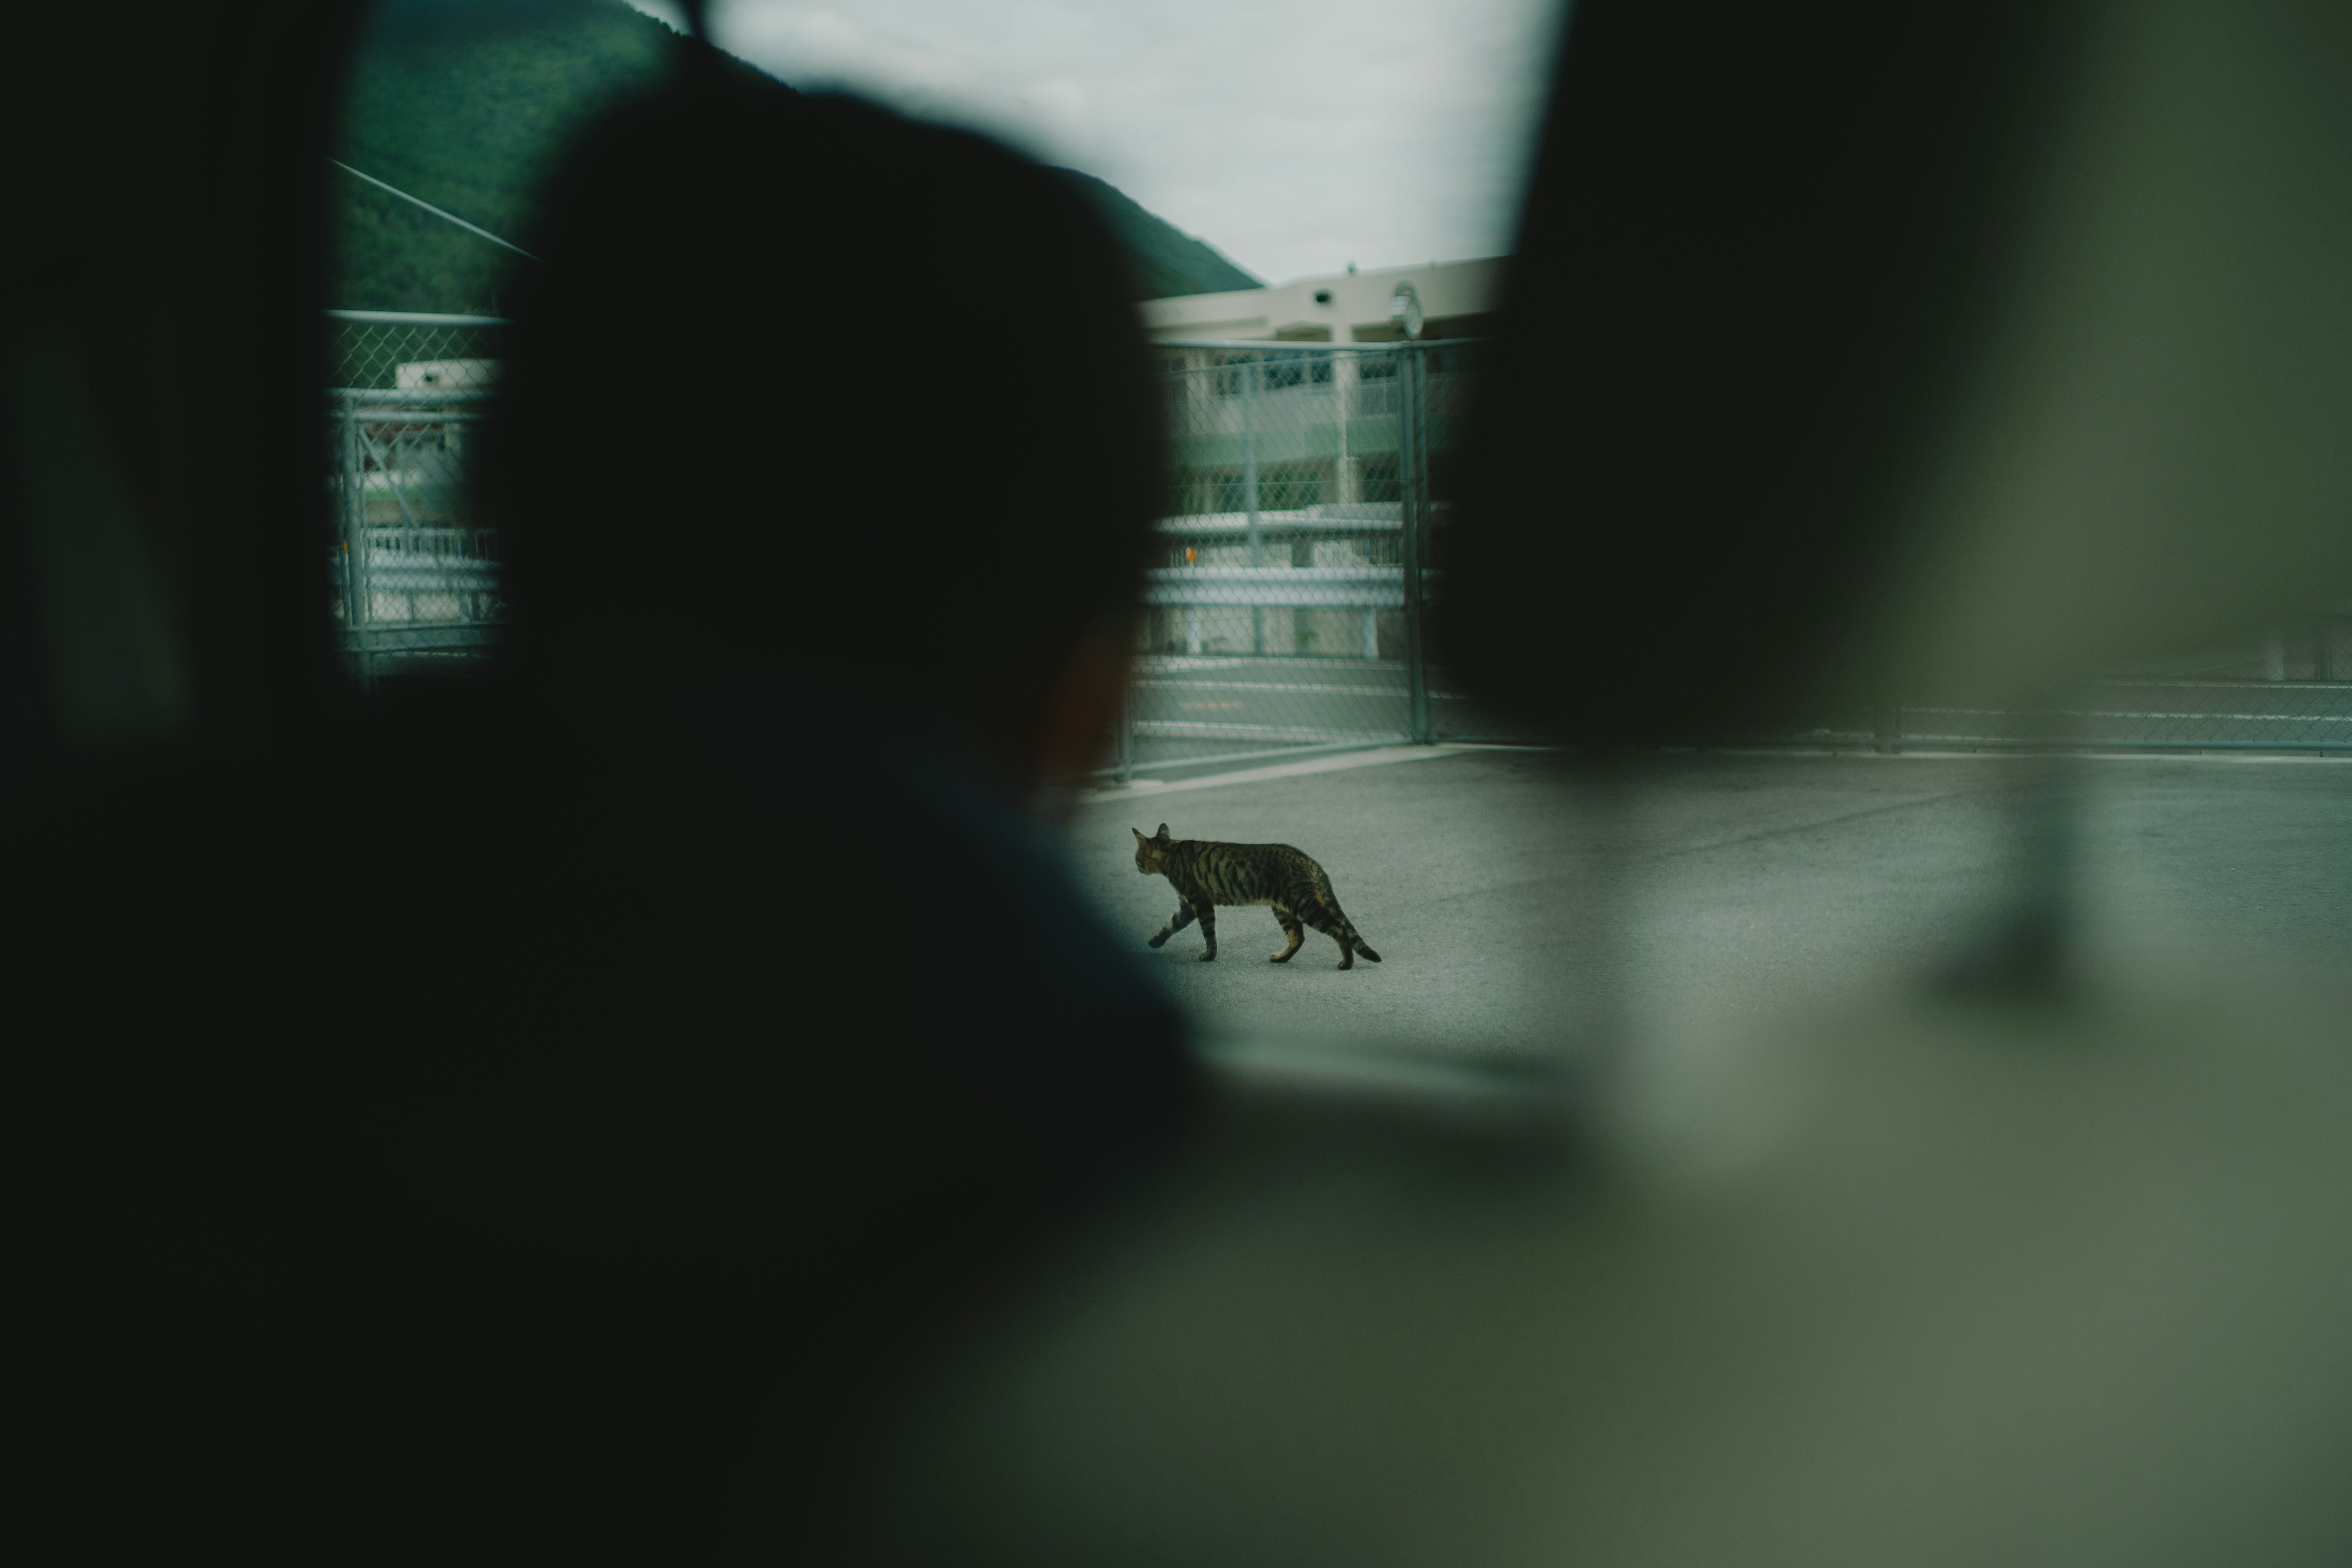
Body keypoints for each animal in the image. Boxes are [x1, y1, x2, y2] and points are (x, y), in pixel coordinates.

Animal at [1133, 823, 1382, 968]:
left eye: (1137, 858)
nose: (1136, 867)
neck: (1172, 853)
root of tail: (1310, 861)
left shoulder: (1200, 903)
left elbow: (1208, 933)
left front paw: (1210, 955)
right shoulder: (1187, 906)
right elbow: (1171, 925)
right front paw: (1155, 941)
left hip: (1304, 905)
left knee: (1338, 929)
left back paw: (1347, 963)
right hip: (1283, 909)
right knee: (1298, 937)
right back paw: (1282, 958)